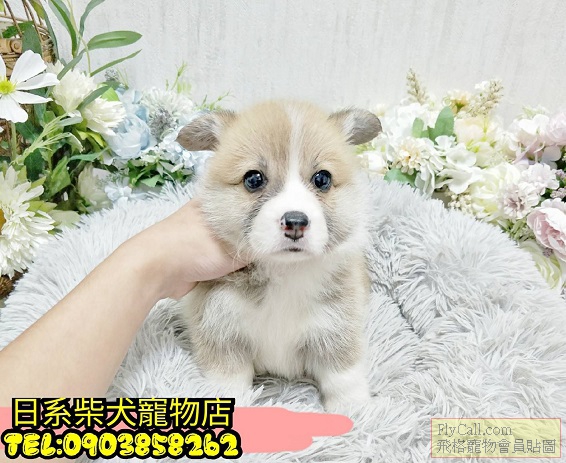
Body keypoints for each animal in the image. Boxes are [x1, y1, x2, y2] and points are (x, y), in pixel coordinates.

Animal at [176, 100, 381, 412]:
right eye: (253, 179)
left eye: (322, 179)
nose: (295, 221)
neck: (285, 272)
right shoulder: (221, 332)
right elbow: (228, 384)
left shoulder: (337, 327)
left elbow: (344, 377)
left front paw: (355, 412)